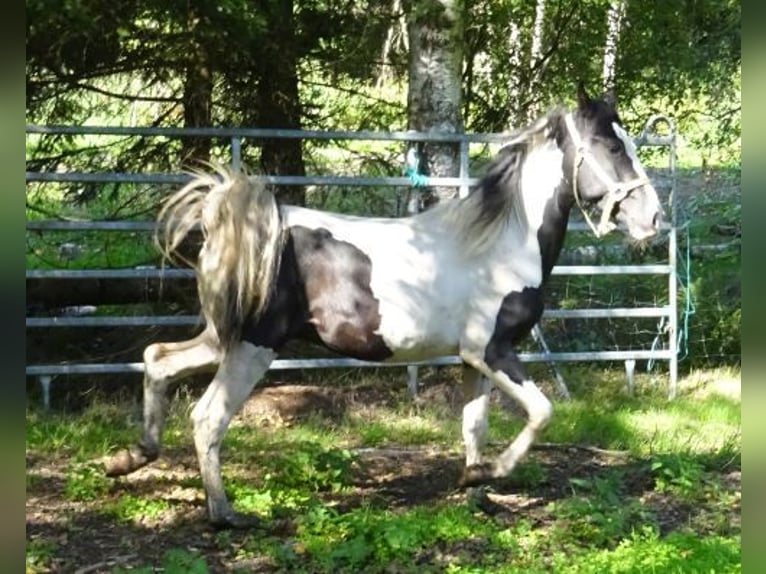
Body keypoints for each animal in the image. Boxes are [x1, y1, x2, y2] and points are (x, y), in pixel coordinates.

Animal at [103, 85, 664, 528]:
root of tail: (231, 216)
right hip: (253, 346)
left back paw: (130, 458)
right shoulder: (494, 351)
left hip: (224, 336)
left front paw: (474, 486)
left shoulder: (473, 360)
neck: (499, 244)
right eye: (611, 146)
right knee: (207, 417)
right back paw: (224, 515)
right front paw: (491, 472)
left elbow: (474, 426)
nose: (652, 219)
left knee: (158, 359)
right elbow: (542, 412)